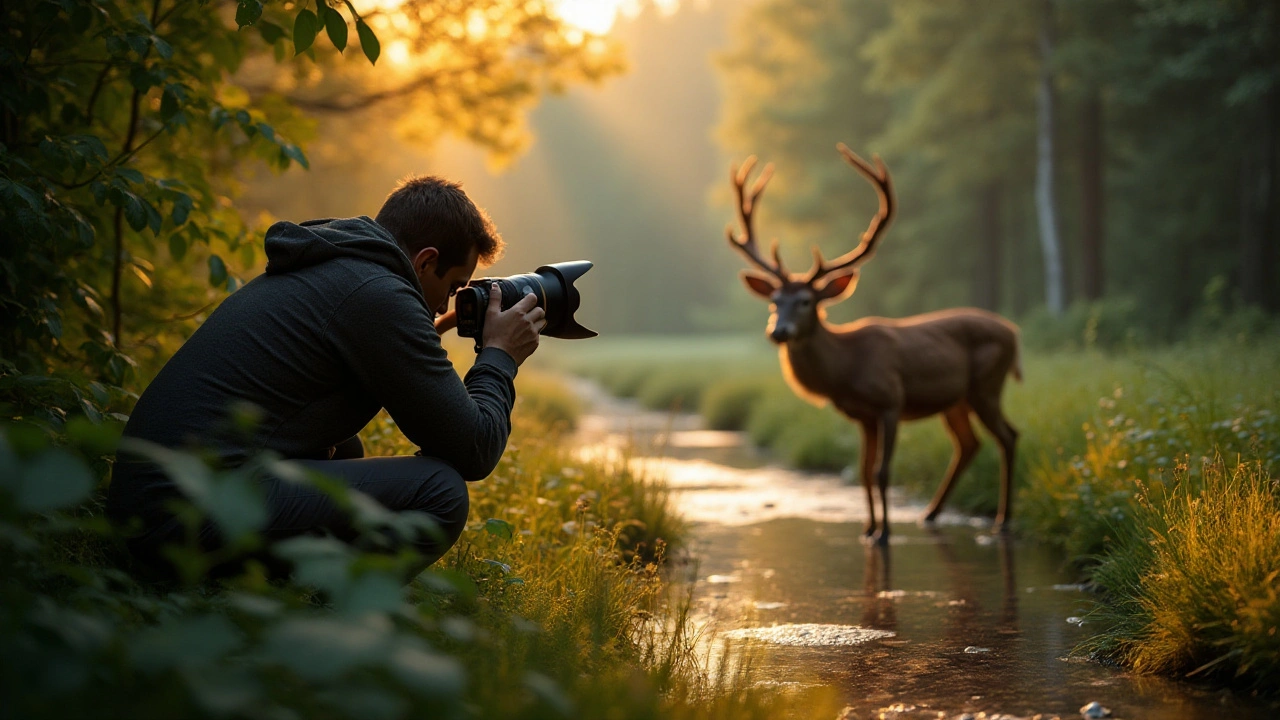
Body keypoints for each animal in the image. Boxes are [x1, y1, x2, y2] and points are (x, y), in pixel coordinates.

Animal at [732, 142, 1018, 540]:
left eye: (805, 300)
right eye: (774, 301)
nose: (779, 331)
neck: (846, 368)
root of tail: (1014, 332)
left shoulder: (890, 401)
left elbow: (882, 471)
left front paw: (884, 533)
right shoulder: (861, 415)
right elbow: (864, 471)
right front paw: (867, 529)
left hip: (987, 384)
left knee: (1008, 437)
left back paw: (1002, 520)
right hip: (956, 400)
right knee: (969, 444)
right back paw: (930, 514)